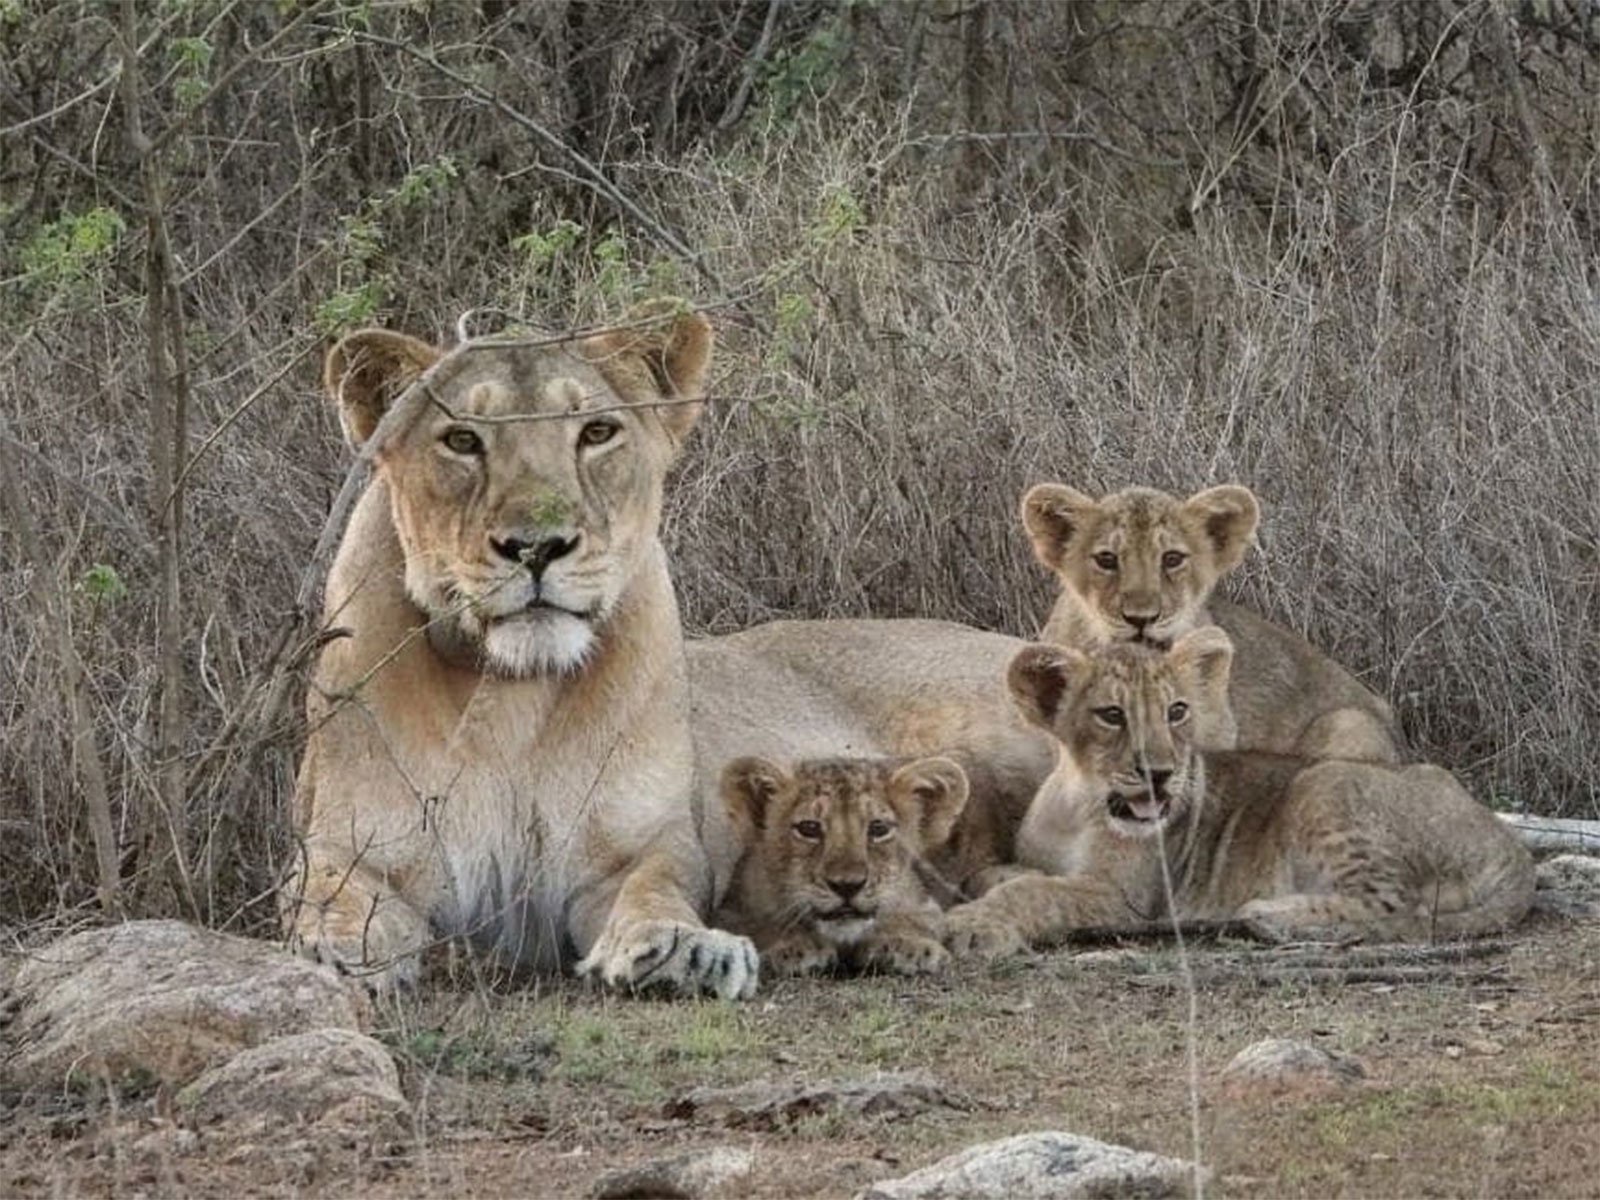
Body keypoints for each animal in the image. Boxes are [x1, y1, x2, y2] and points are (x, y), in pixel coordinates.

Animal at [283, 302, 757, 998]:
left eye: (596, 432)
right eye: (462, 441)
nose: (537, 547)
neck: (512, 692)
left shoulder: (635, 848)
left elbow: (655, 889)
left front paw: (685, 950)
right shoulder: (351, 849)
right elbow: (329, 900)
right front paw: (335, 958)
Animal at [713, 755, 969, 976]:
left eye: (879, 828)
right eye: (809, 828)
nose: (847, 885)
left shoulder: (923, 904)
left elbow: (917, 919)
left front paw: (909, 945)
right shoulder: (731, 910)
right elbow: (760, 924)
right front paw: (795, 946)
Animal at [944, 629, 1533, 958]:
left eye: (1176, 711)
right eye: (1111, 715)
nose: (1160, 773)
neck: (1079, 801)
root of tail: (1511, 848)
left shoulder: (1124, 899)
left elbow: (1034, 893)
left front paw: (974, 926)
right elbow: (1006, 876)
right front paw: (994, 885)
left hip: (1324, 780)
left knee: (1392, 906)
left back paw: (1270, 913)